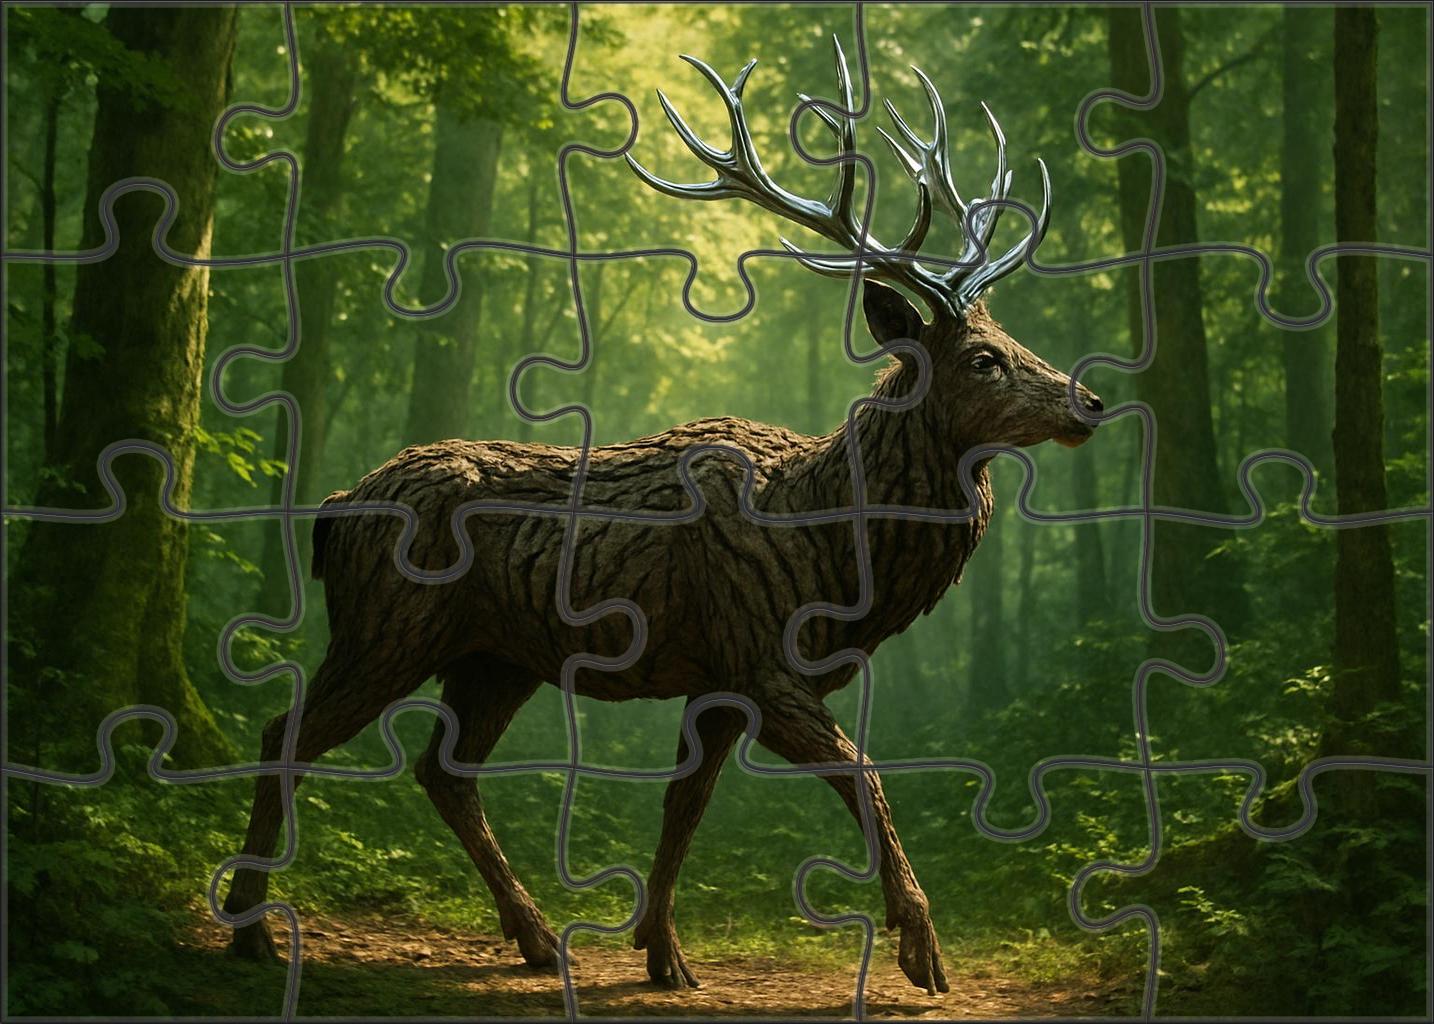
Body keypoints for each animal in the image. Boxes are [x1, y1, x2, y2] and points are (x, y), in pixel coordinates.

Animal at [222, 41, 1101, 997]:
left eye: (1014, 340)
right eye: (982, 358)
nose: (1090, 401)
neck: (834, 539)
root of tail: (336, 508)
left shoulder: (717, 680)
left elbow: (687, 802)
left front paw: (661, 949)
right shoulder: (759, 654)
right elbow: (863, 773)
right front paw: (921, 949)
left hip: (495, 656)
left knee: (443, 771)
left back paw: (535, 937)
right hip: (388, 625)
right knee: (285, 732)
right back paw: (249, 932)